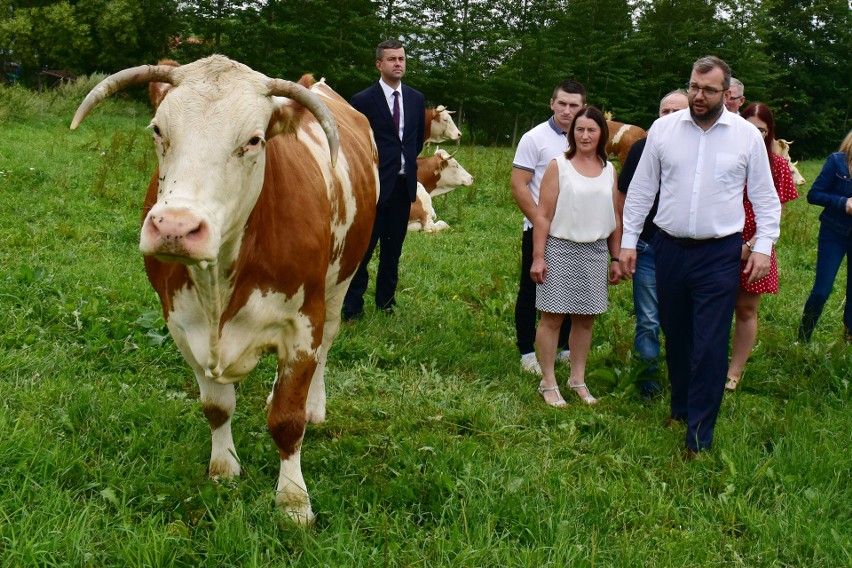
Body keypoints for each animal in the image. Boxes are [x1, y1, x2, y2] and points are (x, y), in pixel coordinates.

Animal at [71, 55, 378, 520]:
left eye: (253, 140)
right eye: (158, 129)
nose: (175, 227)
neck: (219, 282)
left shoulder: (303, 325)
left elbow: (287, 422)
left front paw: (293, 500)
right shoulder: (182, 325)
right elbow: (217, 407)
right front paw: (224, 467)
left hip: (340, 283)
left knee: (326, 348)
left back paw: (314, 405)